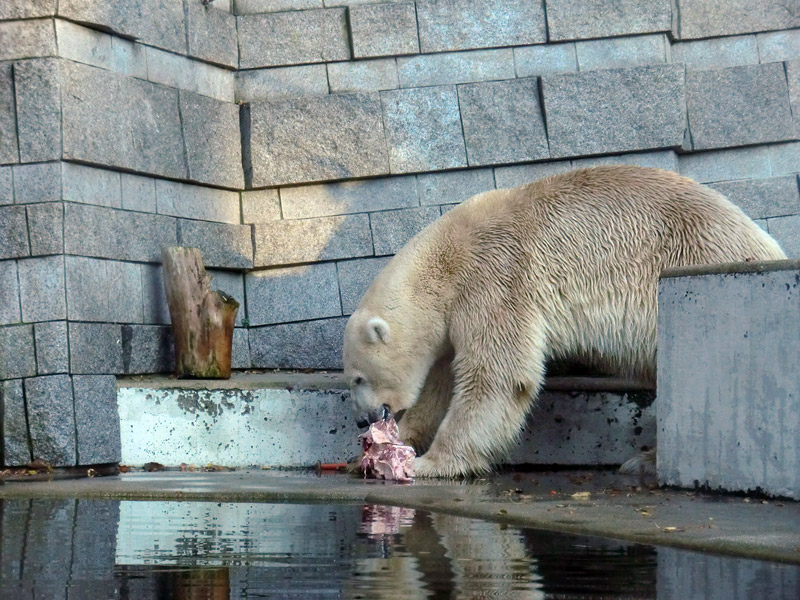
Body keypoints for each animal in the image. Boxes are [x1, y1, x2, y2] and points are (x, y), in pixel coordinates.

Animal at [340, 165, 784, 478]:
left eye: (357, 378)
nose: (362, 419)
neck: (448, 259)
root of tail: (766, 245)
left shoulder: (496, 278)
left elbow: (498, 375)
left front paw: (430, 463)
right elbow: (439, 383)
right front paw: (375, 454)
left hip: (686, 269)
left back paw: (645, 458)